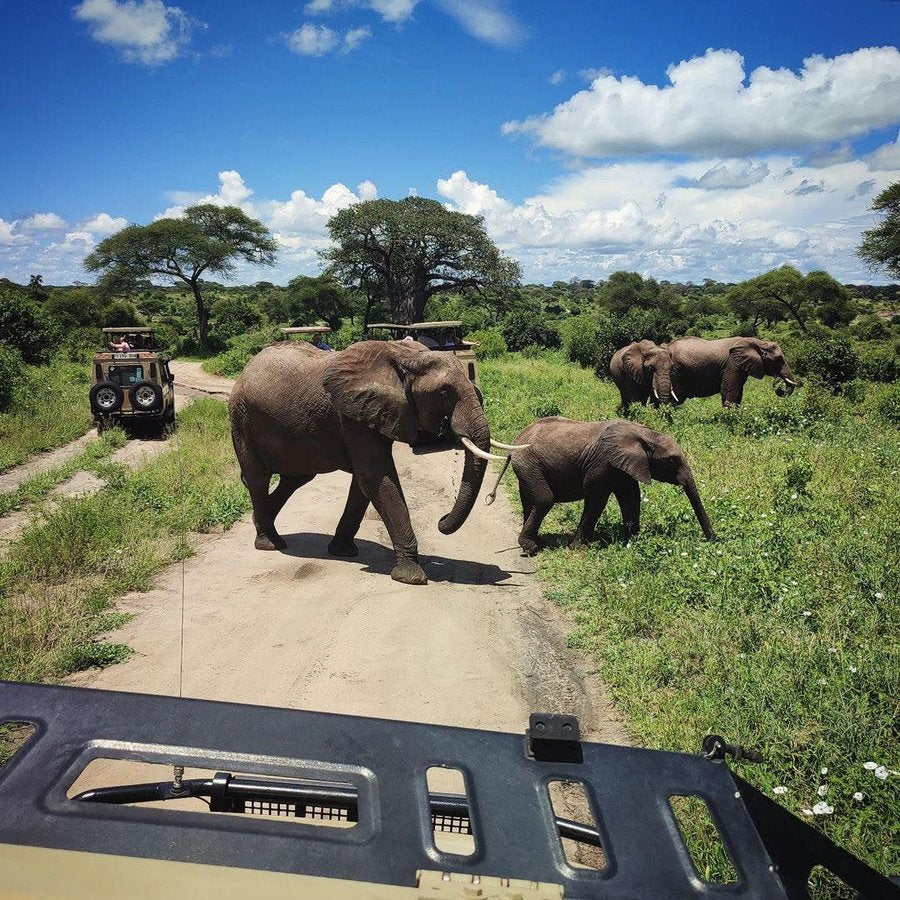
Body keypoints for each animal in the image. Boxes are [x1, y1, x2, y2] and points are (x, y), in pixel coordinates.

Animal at [228, 340, 522, 585]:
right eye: (443, 393)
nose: (441, 520)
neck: (407, 357)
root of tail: (245, 369)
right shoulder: (353, 416)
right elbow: (376, 477)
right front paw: (412, 577)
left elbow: (365, 482)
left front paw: (344, 552)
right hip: (242, 419)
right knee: (258, 477)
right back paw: (270, 544)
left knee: (296, 477)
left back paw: (260, 523)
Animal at [484, 417, 716, 555]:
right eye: (671, 461)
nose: (713, 540)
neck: (643, 433)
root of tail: (514, 445)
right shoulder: (603, 463)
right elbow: (596, 499)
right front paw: (580, 548)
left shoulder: (624, 464)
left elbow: (630, 496)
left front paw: (633, 540)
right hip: (529, 465)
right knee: (544, 499)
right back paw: (532, 547)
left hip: (527, 469)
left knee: (528, 501)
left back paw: (537, 542)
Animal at [665, 337, 800, 406]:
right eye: (779, 359)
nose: (779, 389)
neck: (757, 342)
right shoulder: (732, 366)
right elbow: (730, 390)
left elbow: (738, 391)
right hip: (675, 371)